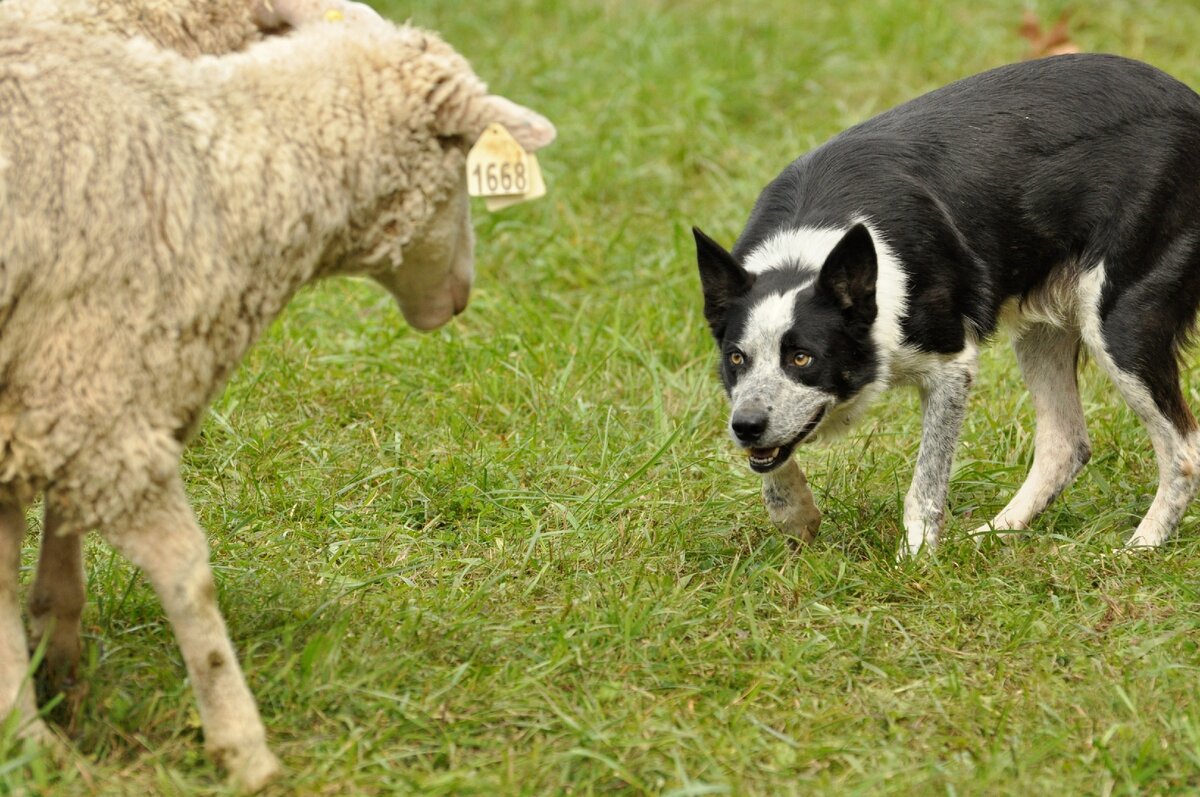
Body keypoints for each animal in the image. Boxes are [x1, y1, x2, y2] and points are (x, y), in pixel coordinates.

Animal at [0, 6, 552, 792]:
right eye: (459, 164)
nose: (460, 297)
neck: (219, 167)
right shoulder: (93, 388)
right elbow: (185, 572)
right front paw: (241, 746)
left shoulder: (48, 394)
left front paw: (33, 714)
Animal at [700, 54, 1200, 554]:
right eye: (736, 359)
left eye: (803, 358)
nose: (745, 427)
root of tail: (1190, 101)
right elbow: (773, 463)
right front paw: (795, 515)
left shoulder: (950, 366)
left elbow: (925, 483)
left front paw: (916, 557)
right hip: (1042, 329)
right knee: (1067, 445)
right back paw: (997, 532)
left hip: (1119, 325)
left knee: (1183, 450)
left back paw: (1142, 546)